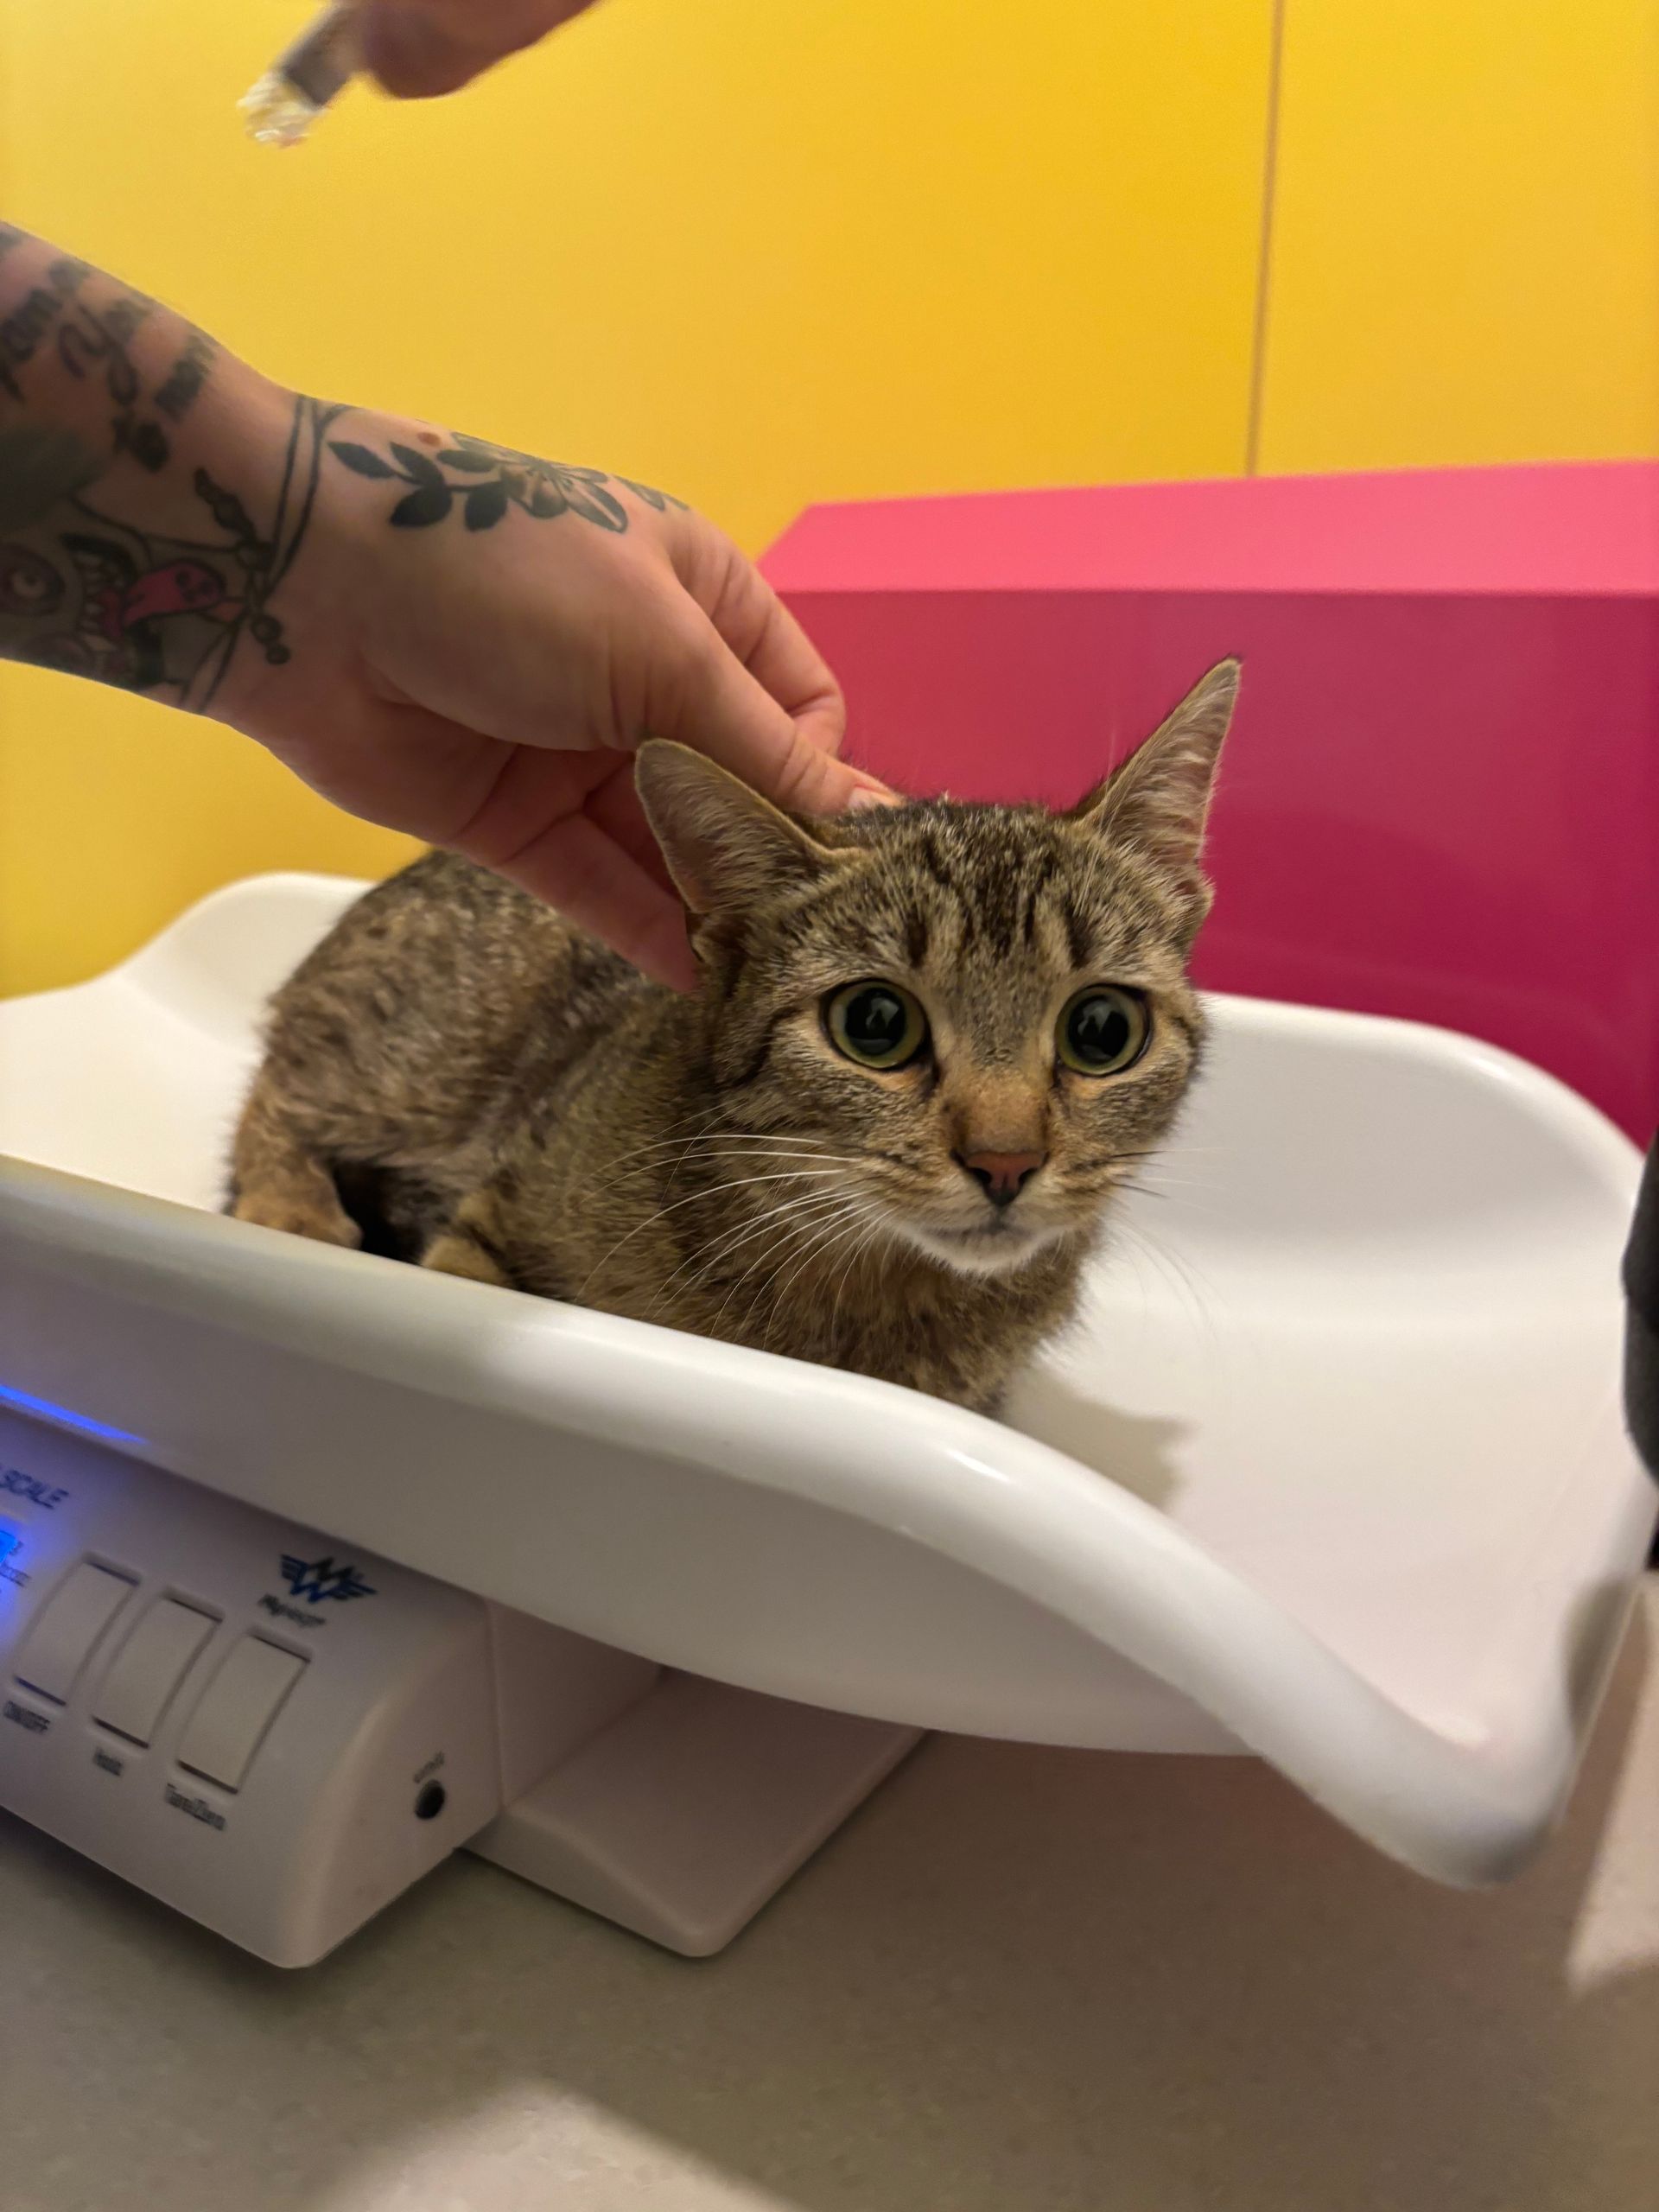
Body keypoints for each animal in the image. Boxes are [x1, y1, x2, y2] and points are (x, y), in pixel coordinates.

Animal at [228, 658, 1239, 1413]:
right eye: (875, 1024)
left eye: (1102, 1030)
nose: (1005, 1161)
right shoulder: (500, 1203)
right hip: (423, 1057)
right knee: (276, 1082)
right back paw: (290, 1206)